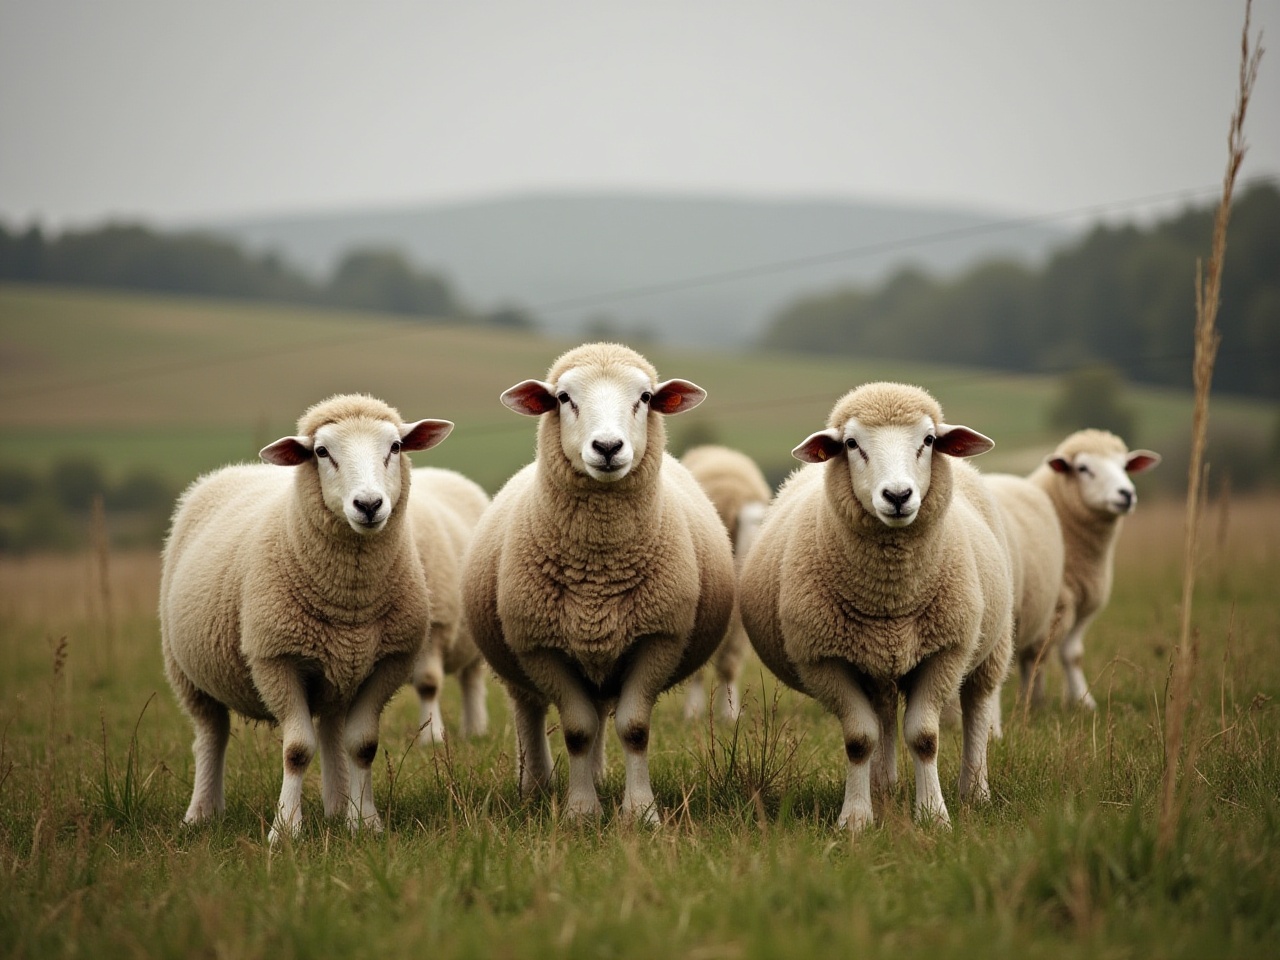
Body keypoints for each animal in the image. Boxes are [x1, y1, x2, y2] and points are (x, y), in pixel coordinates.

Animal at [160, 394, 454, 843]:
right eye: (321, 452)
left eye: (395, 447)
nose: (369, 505)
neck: (350, 603)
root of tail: (234, 469)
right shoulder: (275, 659)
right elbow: (297, 750)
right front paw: (285, 831)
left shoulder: (388, 662)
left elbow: (362, 745)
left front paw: (366, 823)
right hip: (186, 672)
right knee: (211, 735)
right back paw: (201, 813)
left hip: (338, 675)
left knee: (332, 732)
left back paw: (337, 808)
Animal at [462, 342, 736, 822]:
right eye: (563, 398)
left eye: (645, 397)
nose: (607, 447)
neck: (599, 573)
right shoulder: (540, 647)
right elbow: (576, 730)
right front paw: (581, 812)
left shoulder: (659, 638)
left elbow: (633, 727)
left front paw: (640, 811)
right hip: (518, 661)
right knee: (530, 712)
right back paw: (535, 787)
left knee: (600, 712)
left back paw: (599, 776)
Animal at [738, 382, 1013, 832]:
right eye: (852, 444)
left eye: (929, 440)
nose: (898, 495)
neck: (891, 600)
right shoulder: (823, 660)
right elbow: (860, 739)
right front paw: (856, 818)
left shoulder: (947, 651)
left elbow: (924, 737)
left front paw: (934, 815)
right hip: (874, 661)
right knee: (883, 712)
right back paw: (883, 786)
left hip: (991, 645)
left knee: (978, 705)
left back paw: (975, 791)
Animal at [1026, 429, 1161, 710]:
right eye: (1083, 468)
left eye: (1125, 466)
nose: (1127, 494)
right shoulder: (1051, 605)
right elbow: (1038, 655)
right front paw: (1035, 702)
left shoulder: (1084, 604)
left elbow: (1072, 654)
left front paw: (1083, 702)